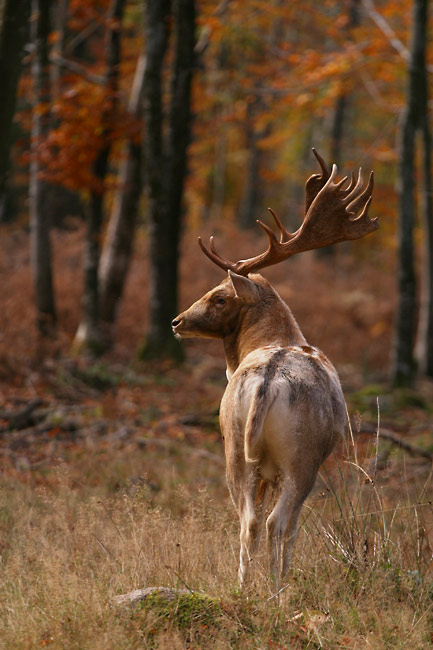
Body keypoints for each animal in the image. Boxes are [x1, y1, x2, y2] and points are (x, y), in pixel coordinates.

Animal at [170, 149, 376, 584]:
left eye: (219, 297)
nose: (177, 321)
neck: (277, 339)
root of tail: (266, 382)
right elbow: (290, 527)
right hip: (302, 456)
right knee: (279, 523)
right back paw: (278, 589)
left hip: (234, 447)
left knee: (247, 520)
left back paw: (245, 587)